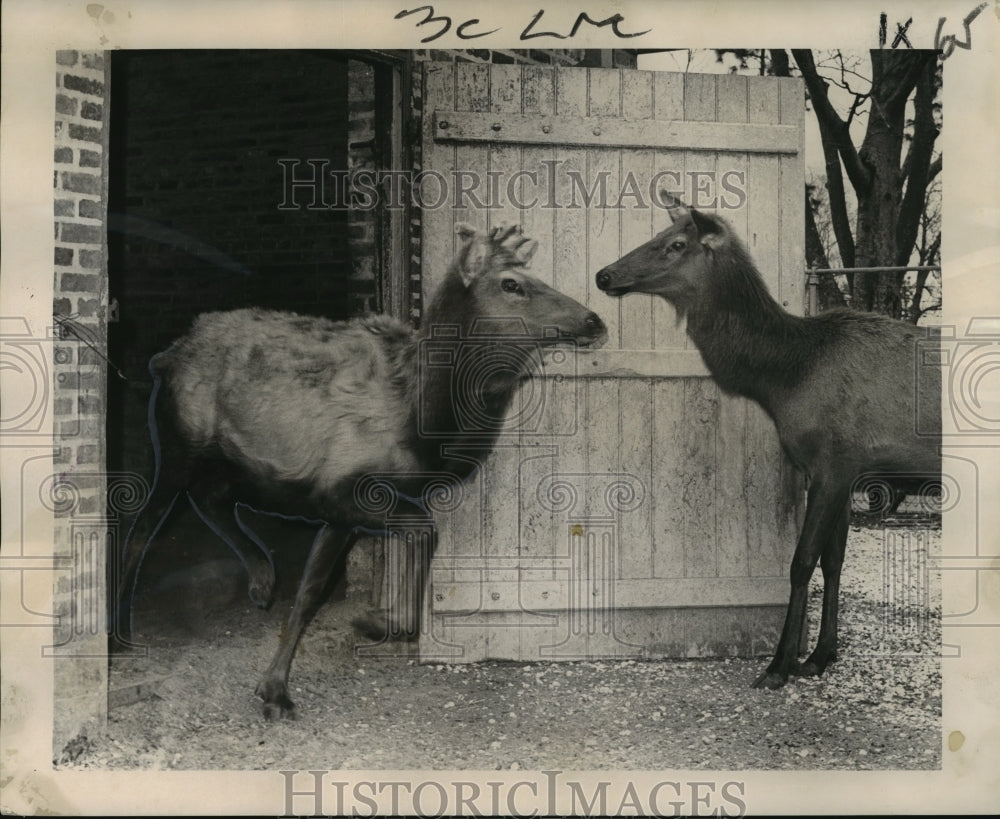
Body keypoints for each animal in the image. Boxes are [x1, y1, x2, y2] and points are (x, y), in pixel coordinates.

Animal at [120, 224, 604, 716]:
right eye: (512, 284)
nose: (594, 321)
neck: (422, 421)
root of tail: (166, 356)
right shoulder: (340, 488)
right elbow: (403, 541)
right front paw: (302, 670)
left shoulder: (344, 505)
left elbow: (319, 587)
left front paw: (365, 632)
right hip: (177, 443)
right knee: (141, 528)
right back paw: (122, 632)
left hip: (246, 468)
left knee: (212, 497)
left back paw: (261, 579)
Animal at [596, 199, 940, 692]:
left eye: (676, 244)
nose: (604, 275)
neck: (784, 377)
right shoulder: (845, 469)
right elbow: (834, 561)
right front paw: (820, 656)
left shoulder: (833, 461)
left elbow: (802, 562)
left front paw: (780, 665)